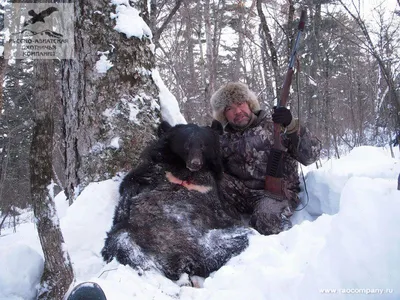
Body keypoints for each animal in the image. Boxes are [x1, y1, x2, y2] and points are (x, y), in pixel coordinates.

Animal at [101, 120, 252, 280]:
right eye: (186, 145)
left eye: (204, 145)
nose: (195, 163)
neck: (185, 171)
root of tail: (179, 259)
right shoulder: (153, 168)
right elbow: (131, 184)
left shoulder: (212, 188)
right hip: (129, 235)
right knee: (123, 246)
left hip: (219, 239)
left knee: (241, 236)